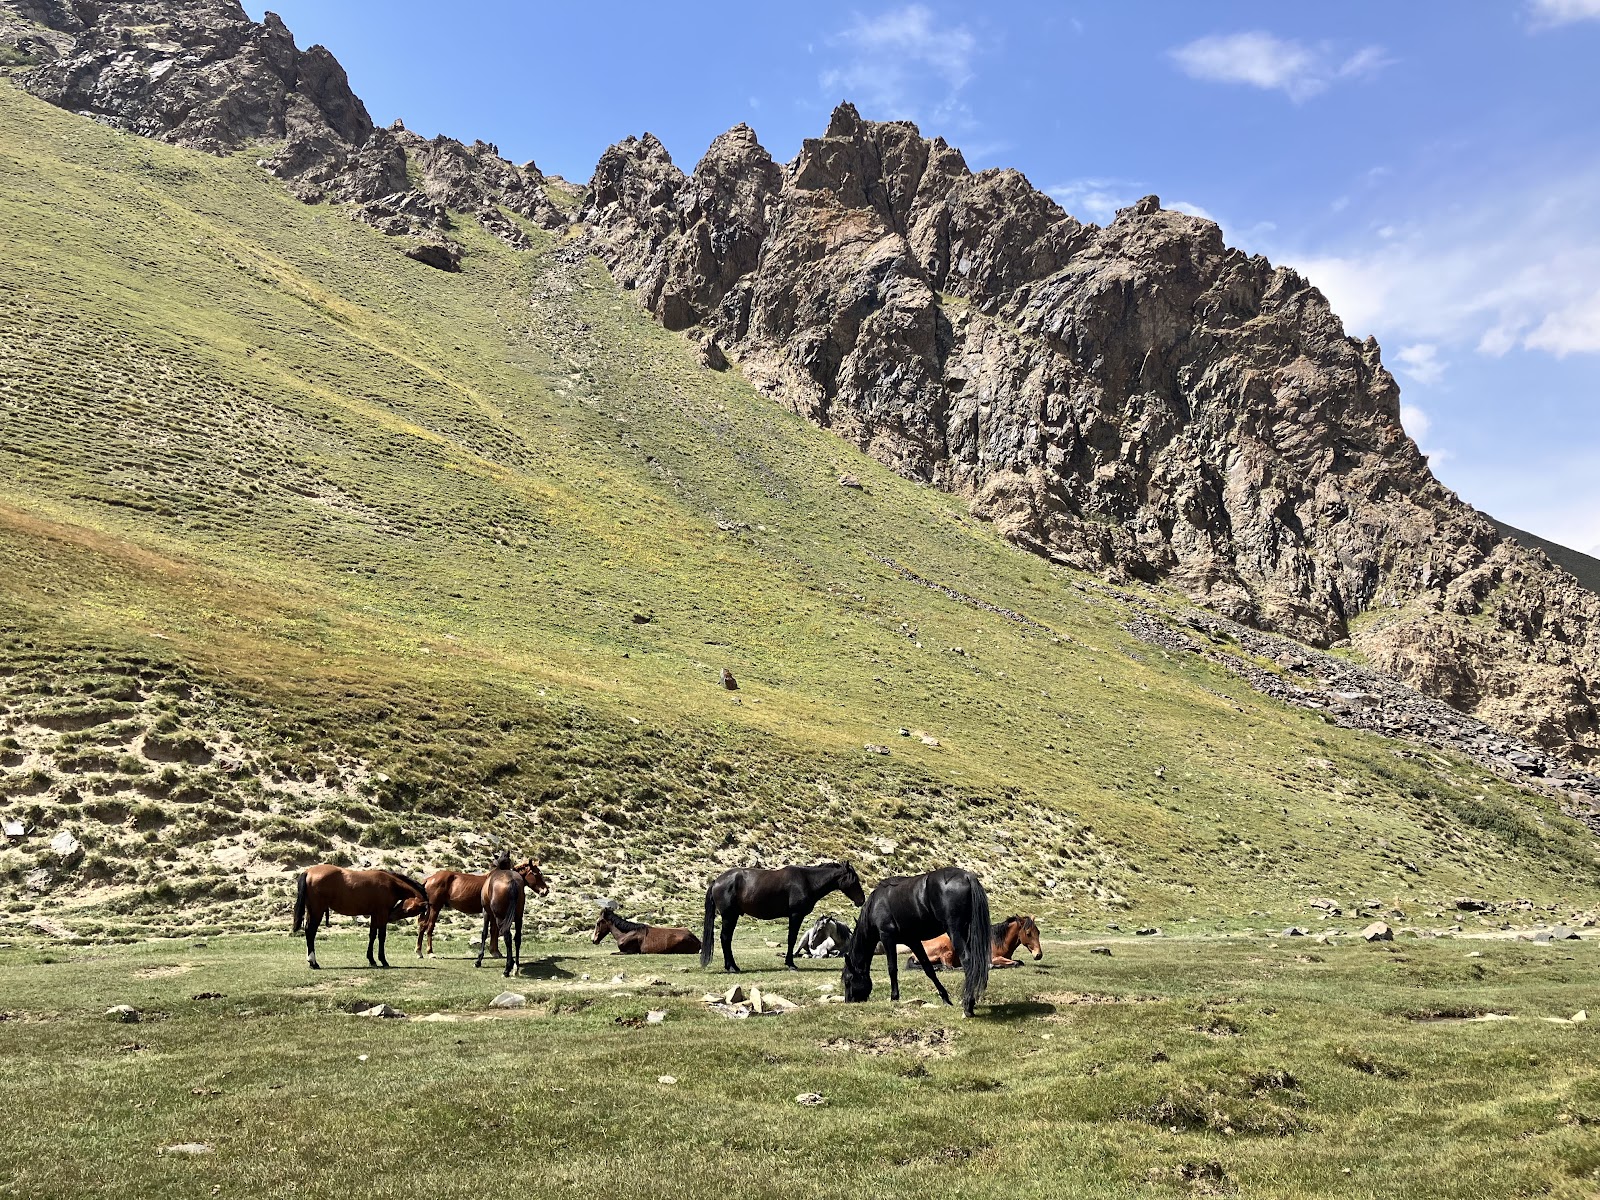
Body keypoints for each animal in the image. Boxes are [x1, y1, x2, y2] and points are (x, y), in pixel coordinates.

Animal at [294, 857, 428, 972]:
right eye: (408, 909)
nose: (391, 916)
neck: (390, 884)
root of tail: (308, 872)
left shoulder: (375, 915)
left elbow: (372, 935)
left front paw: (372, 960)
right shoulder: (382, 914)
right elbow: (382, 936)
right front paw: (383, 960)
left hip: (312, 910)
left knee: (308, 931)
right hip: (317, 911)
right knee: (311, 931)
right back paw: (313, 962)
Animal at [412, 857, 550, 960]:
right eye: (536, 874)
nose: (546, 891)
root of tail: (429, 879)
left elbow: (494, 931)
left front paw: (494, 951)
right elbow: (494, 931)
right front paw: (495, 952)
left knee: (422, 926)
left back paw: (419, 952)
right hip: (435, 908)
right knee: (429, 927)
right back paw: (430, 952)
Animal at [704, 857, 870, 972]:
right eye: (854, 880)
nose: (861, 900)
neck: (808, 881)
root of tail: (717, 881)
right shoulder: (796, 915)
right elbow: (791, 939)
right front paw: (791, 964)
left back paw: (732, 966)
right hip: (729, 916)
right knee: (725, 938)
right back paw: (732, 967)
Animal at [844, 870, 992, 1017]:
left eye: (848, 979)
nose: (848, 1001)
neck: (876, 904)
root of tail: (967, 876)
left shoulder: (887, 938)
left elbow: (892, 969)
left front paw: (894, 997)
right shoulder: (913, 941)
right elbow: (928, 969)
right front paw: (945, 998)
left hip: (955, 931)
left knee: (968, 961)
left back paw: (968, 1006)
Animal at [908, 915, 1043, 972]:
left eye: (1038, 932)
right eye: (1028, 933)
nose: (1039, 955)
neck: (997, 941)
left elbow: (1019, 961)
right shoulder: (994, 958)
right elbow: (1016, 963)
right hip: (948, 951)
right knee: (949, 967)